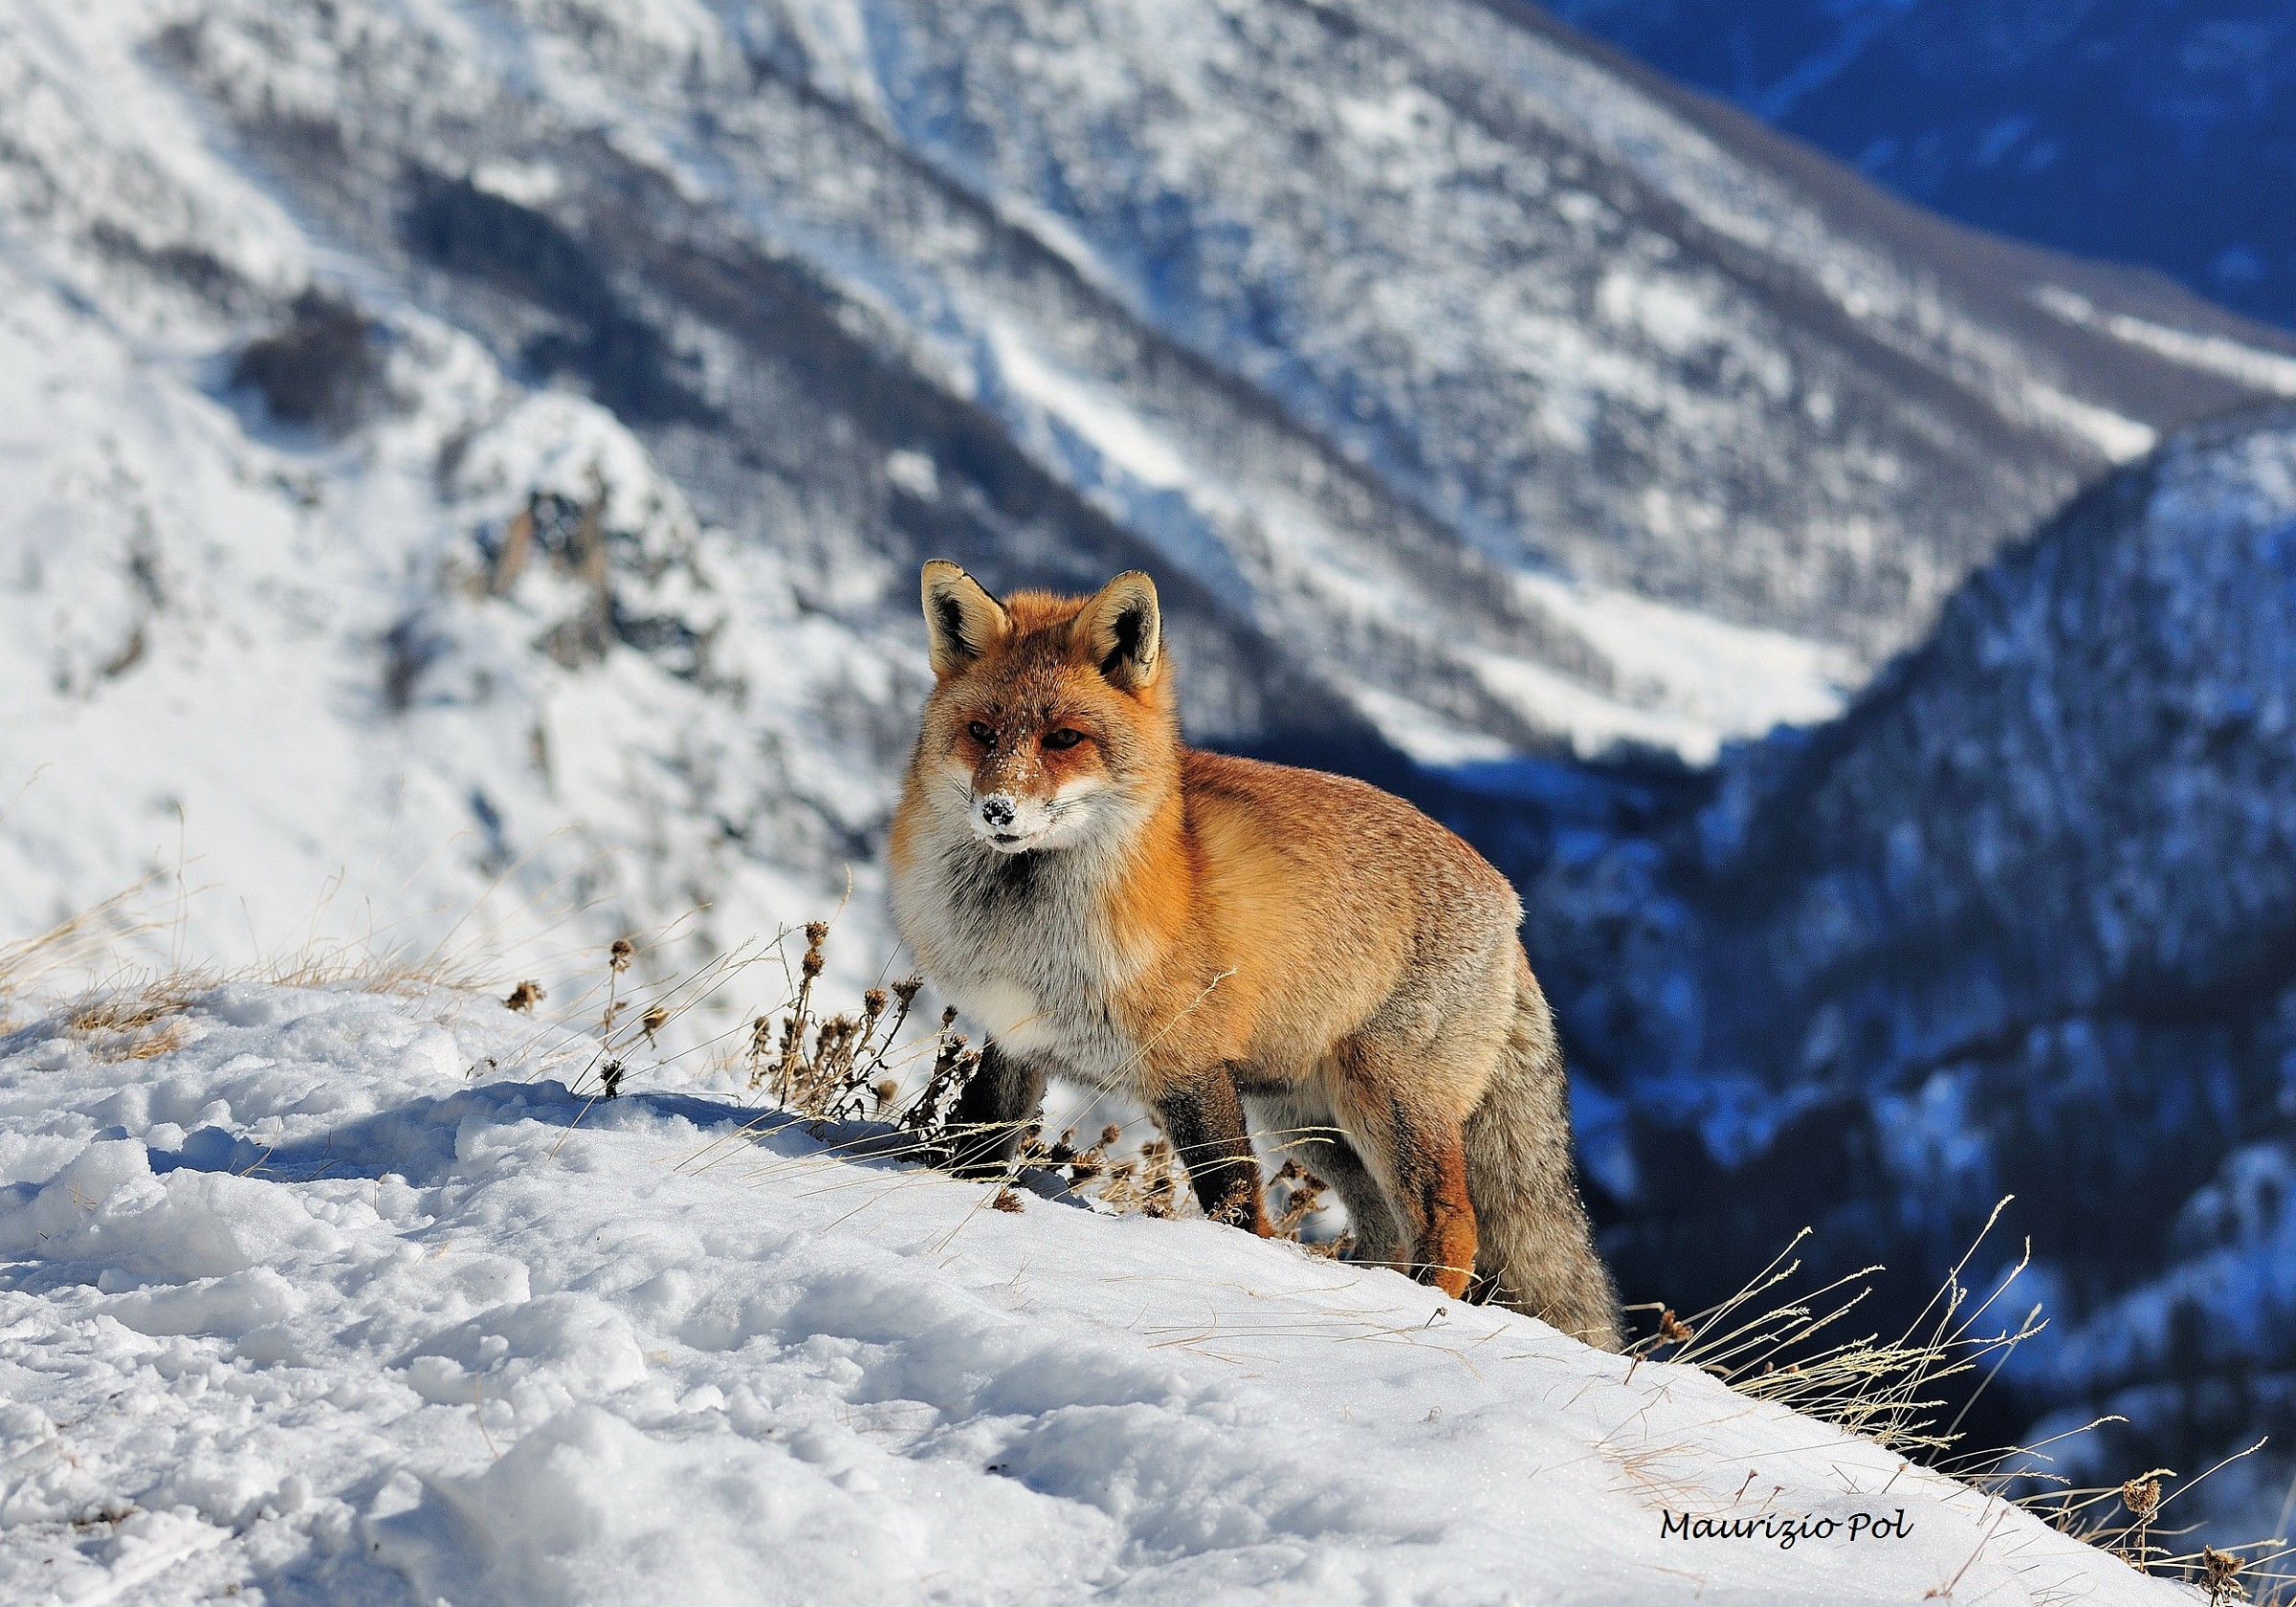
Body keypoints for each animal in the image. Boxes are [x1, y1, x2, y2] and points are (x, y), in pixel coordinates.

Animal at [887, 561, 1622, 1349]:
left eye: (1063, 738)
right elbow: (975, 1144)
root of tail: (1510, 905)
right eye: (981, 732)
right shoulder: (1015, 1040)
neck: (1027, 934)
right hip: (1310, 1120)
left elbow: (1235, 1200)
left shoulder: (1192, 1064)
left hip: (1386, 1102)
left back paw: (1424, 1314)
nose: (997, 810)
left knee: (1452, 1224)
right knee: (1388, 1230)